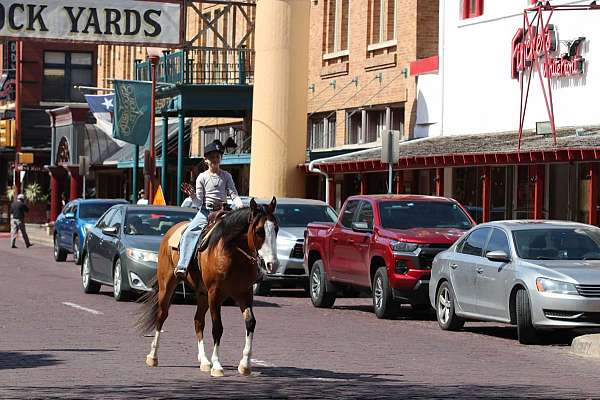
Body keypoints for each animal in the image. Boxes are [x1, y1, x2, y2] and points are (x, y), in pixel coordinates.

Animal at [137, 198, 280, 376]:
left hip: (202, 295)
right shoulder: (215, 294)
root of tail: (170, 232)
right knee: (161, 316)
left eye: (276, 228)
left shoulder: (244, 294)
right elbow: (217, 328)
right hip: (167, 286)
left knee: (198, 321)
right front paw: (217, 365)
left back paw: (204, 361)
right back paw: (153, 356)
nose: (272, 264)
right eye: (260, 231)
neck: (231, 252)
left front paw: (245, 364)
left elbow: (250, 322)